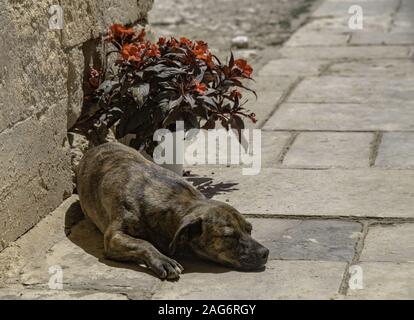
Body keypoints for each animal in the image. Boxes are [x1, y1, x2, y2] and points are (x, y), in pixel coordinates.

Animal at [76, 141, 270, 278]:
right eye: (228, 237)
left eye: (249, 229)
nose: (265, 253)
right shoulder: (114, 237)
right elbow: (143, 243)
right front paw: (163, 260)